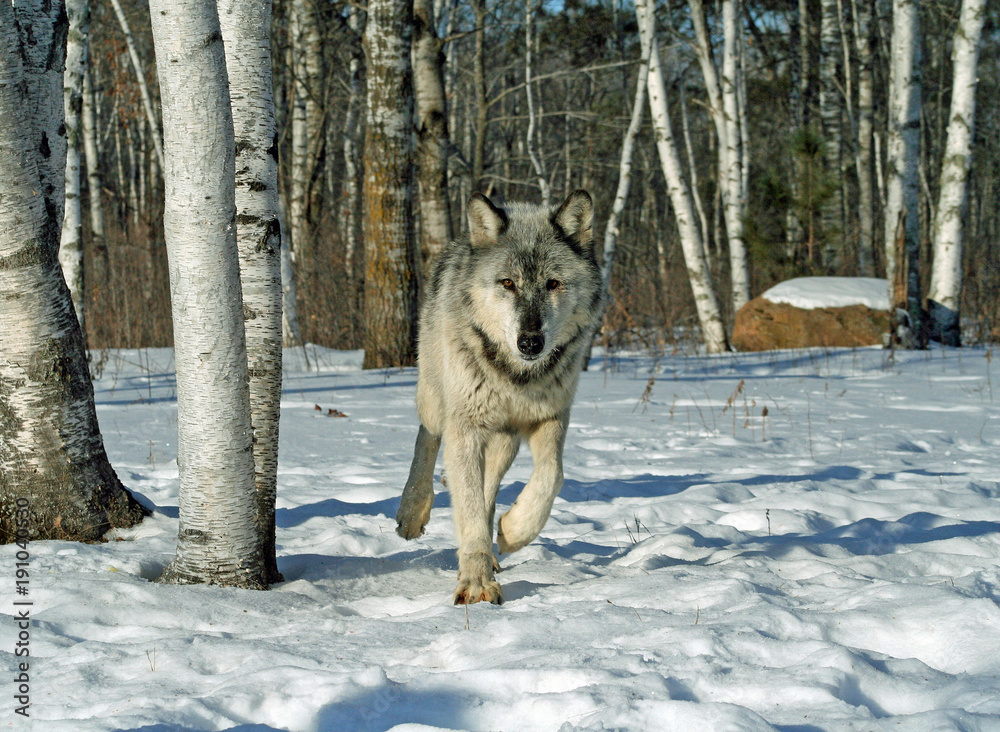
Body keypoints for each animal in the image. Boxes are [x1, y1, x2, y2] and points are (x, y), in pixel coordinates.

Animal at [395, 189, 604, 605]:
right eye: (507, 283)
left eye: (553, 283)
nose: (530, 342)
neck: (516, 378)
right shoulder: (465, 429)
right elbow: (470, 509)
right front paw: (476, 584)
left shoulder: (550, 418)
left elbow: (552, 476)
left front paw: (513, 531)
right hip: (437, 401)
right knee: (427, 438)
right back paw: (412, 512)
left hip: (505, 440)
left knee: (489, 488)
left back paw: (493, 550)